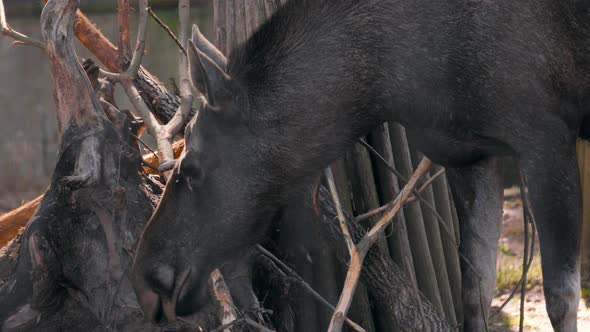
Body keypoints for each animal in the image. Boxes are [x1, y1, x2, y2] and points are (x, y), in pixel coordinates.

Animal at [131, 0, 590, 330]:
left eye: (190, 168)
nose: (147, 278)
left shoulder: (544, 132)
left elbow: (561, 299)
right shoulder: (470, 153)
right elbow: (475, 292)